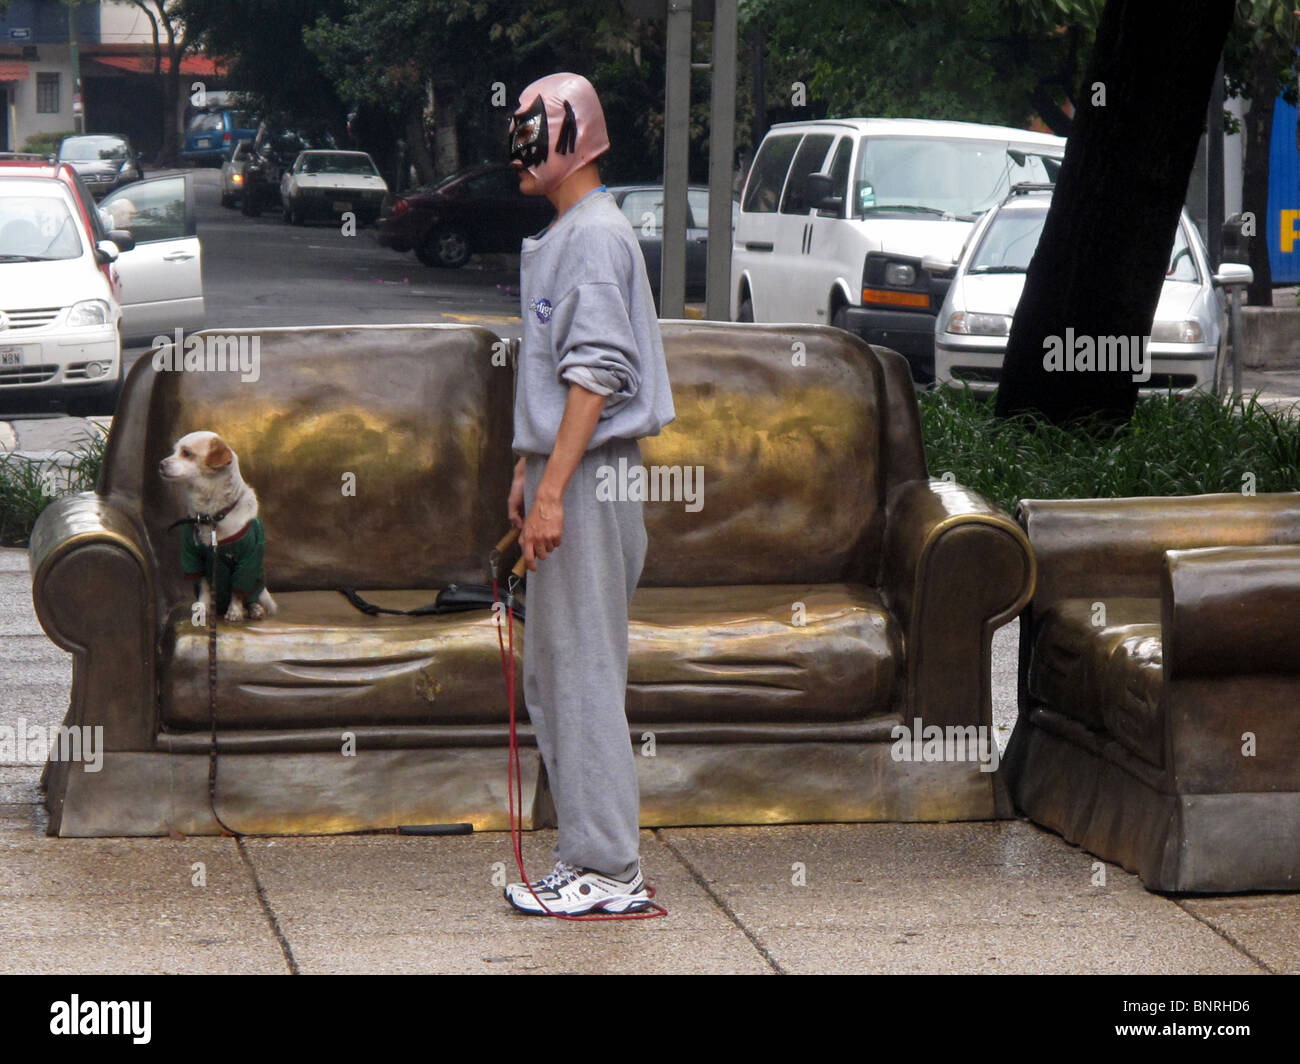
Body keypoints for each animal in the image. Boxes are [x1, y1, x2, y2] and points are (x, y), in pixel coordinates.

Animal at [158, 426, 278, 616]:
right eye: (174, 451)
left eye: (186, 453)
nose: (161, 464)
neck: (212, 516)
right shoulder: (196, 560)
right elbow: (204, 588)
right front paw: (201, 608)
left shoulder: (245, 562)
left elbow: (237, 591)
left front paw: (234, 611)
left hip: (257, 581)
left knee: (252, 596)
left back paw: (254, 609)